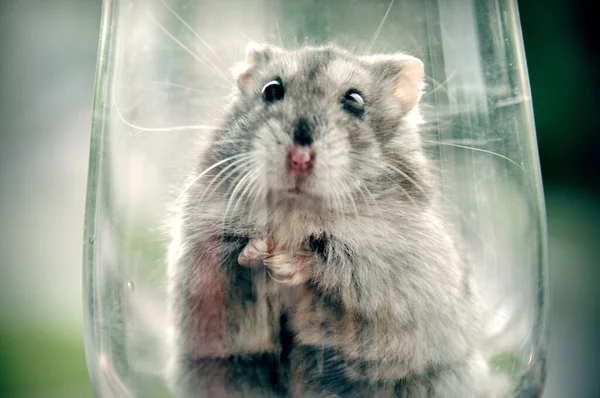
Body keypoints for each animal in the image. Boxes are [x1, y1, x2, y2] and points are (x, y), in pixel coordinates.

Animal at [166, 43, 490, 398]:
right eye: (271, 90)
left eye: (355, 101)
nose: (299, 158)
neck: (297, 207)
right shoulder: (201, 255)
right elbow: (231, 268)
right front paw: (258, 251)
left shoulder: (390, 270)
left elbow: (337, 265)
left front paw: (281, 262)